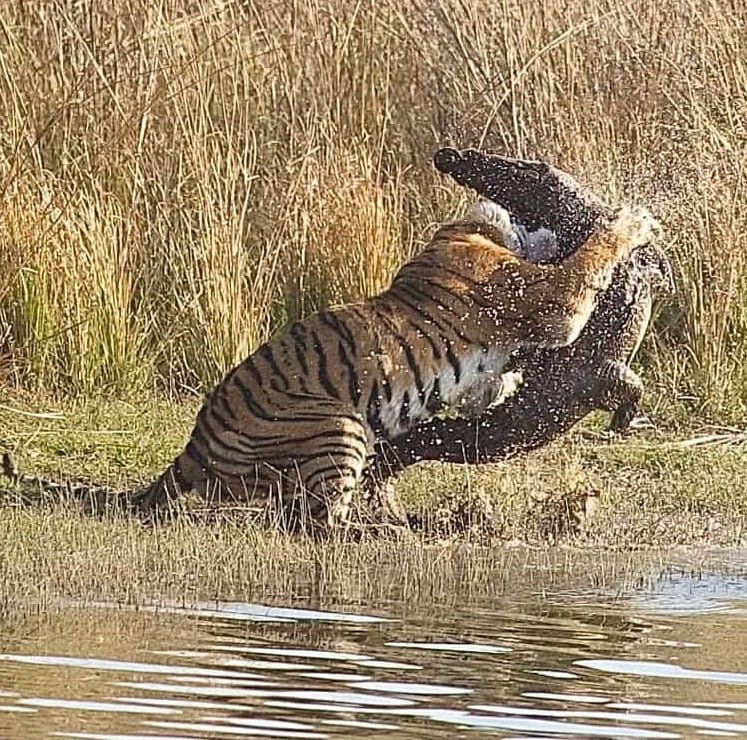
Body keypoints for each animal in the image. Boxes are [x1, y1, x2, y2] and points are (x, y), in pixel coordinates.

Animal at [131, 201, 659, 534]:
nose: (547, 226)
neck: (457, 231)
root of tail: (195, 444)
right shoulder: (551, 301)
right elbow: (591, 255)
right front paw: (634, 219)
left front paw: (504, 385)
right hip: (340, 425)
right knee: (317, 524)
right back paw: (390, 530)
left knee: (296, 515)